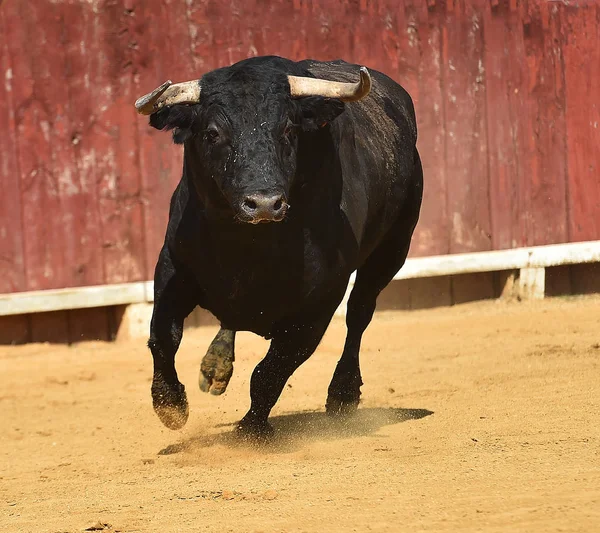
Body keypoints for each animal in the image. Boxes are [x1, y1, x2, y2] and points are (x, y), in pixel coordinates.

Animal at [136, 55, 424, 436]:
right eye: (212, 133)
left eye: (288, 130)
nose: (262, 203)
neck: (246, 244)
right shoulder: (172, 268)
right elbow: (162, 337)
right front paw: (170, 406)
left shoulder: (319, 303)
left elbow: (272, 369)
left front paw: (250, 431)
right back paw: (215, 366)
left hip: (392, 251)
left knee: (360, 312)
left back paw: (343, 393)